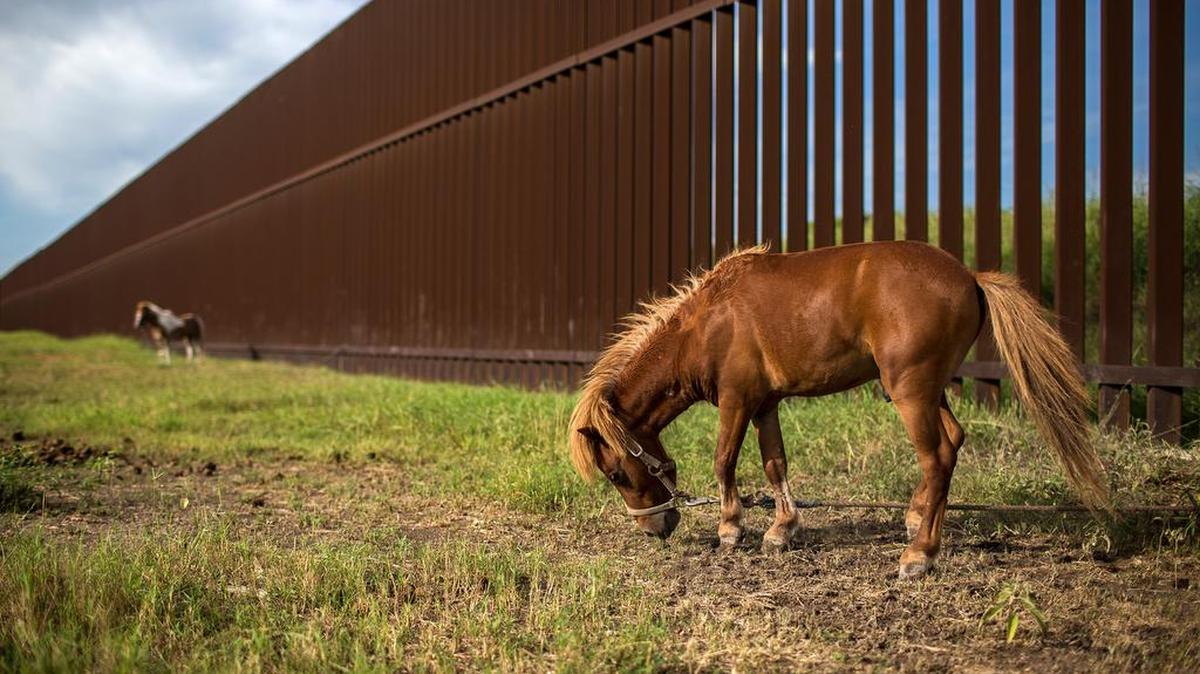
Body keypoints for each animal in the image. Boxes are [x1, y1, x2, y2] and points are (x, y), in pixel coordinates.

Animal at [568, 241, 1107, 579]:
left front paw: (731, 529)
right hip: (931, 392)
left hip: (911, 393)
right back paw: (916, 520)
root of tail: (970, 278)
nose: (655, 529)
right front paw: (781, 531)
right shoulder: (765, 405)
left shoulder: (737, 402)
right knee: (953, 443)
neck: (706, 324)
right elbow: (775, 464)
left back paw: (920, 555)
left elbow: (724, 461)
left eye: (617, 474)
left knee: (937, 458)